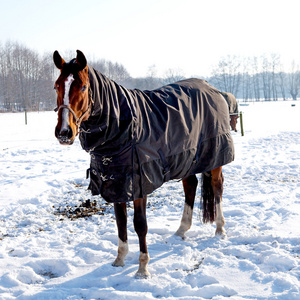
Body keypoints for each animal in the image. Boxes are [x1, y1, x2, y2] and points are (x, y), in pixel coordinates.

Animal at [52, 49, 234, 278]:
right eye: (56, 86)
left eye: (83, 87)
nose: (64, 132)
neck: (121, 128)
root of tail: (213, 89)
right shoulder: (117, 183)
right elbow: (120, 222)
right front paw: (119, 260)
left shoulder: (139, 183)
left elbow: (140, 225)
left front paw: (142, 268)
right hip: (186, 158)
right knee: (190, 185)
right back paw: (181, 230)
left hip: (215, 157)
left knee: (217, 188)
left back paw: (220, 229)